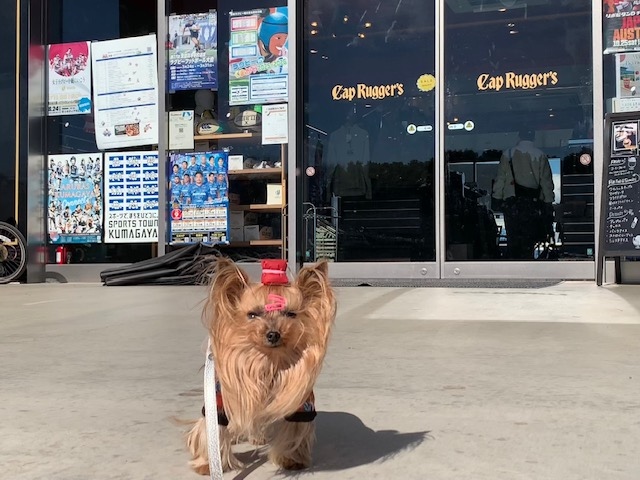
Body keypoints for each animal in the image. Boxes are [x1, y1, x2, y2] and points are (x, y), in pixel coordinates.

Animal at [186, 258, 336, 474]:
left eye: (291, 314)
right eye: (252, 315)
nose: (273, 334)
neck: (268, 362)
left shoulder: (302, 403)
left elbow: (295, 430)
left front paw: (292, 459)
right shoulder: (220, 399)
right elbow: (214, 428)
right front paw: (208, 463)